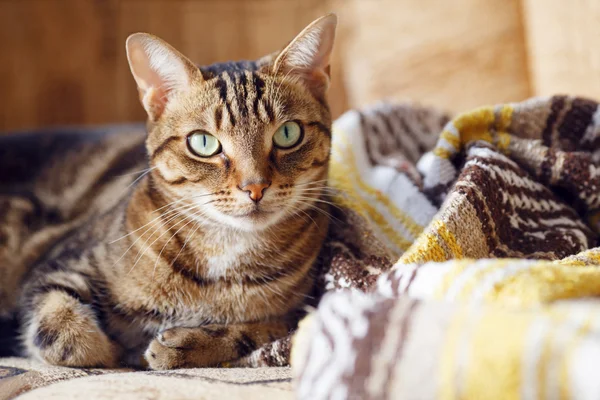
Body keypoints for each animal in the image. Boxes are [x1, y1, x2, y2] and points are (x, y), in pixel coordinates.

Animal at [0, 13, 338, 368]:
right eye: (203, 142)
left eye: (288, 134)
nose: (255, 186)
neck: (227, 254)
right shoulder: (55, 267)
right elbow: (70, 337)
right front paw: (113, 350)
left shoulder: (299, 312)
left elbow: (261, 331)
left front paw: (188, 343)